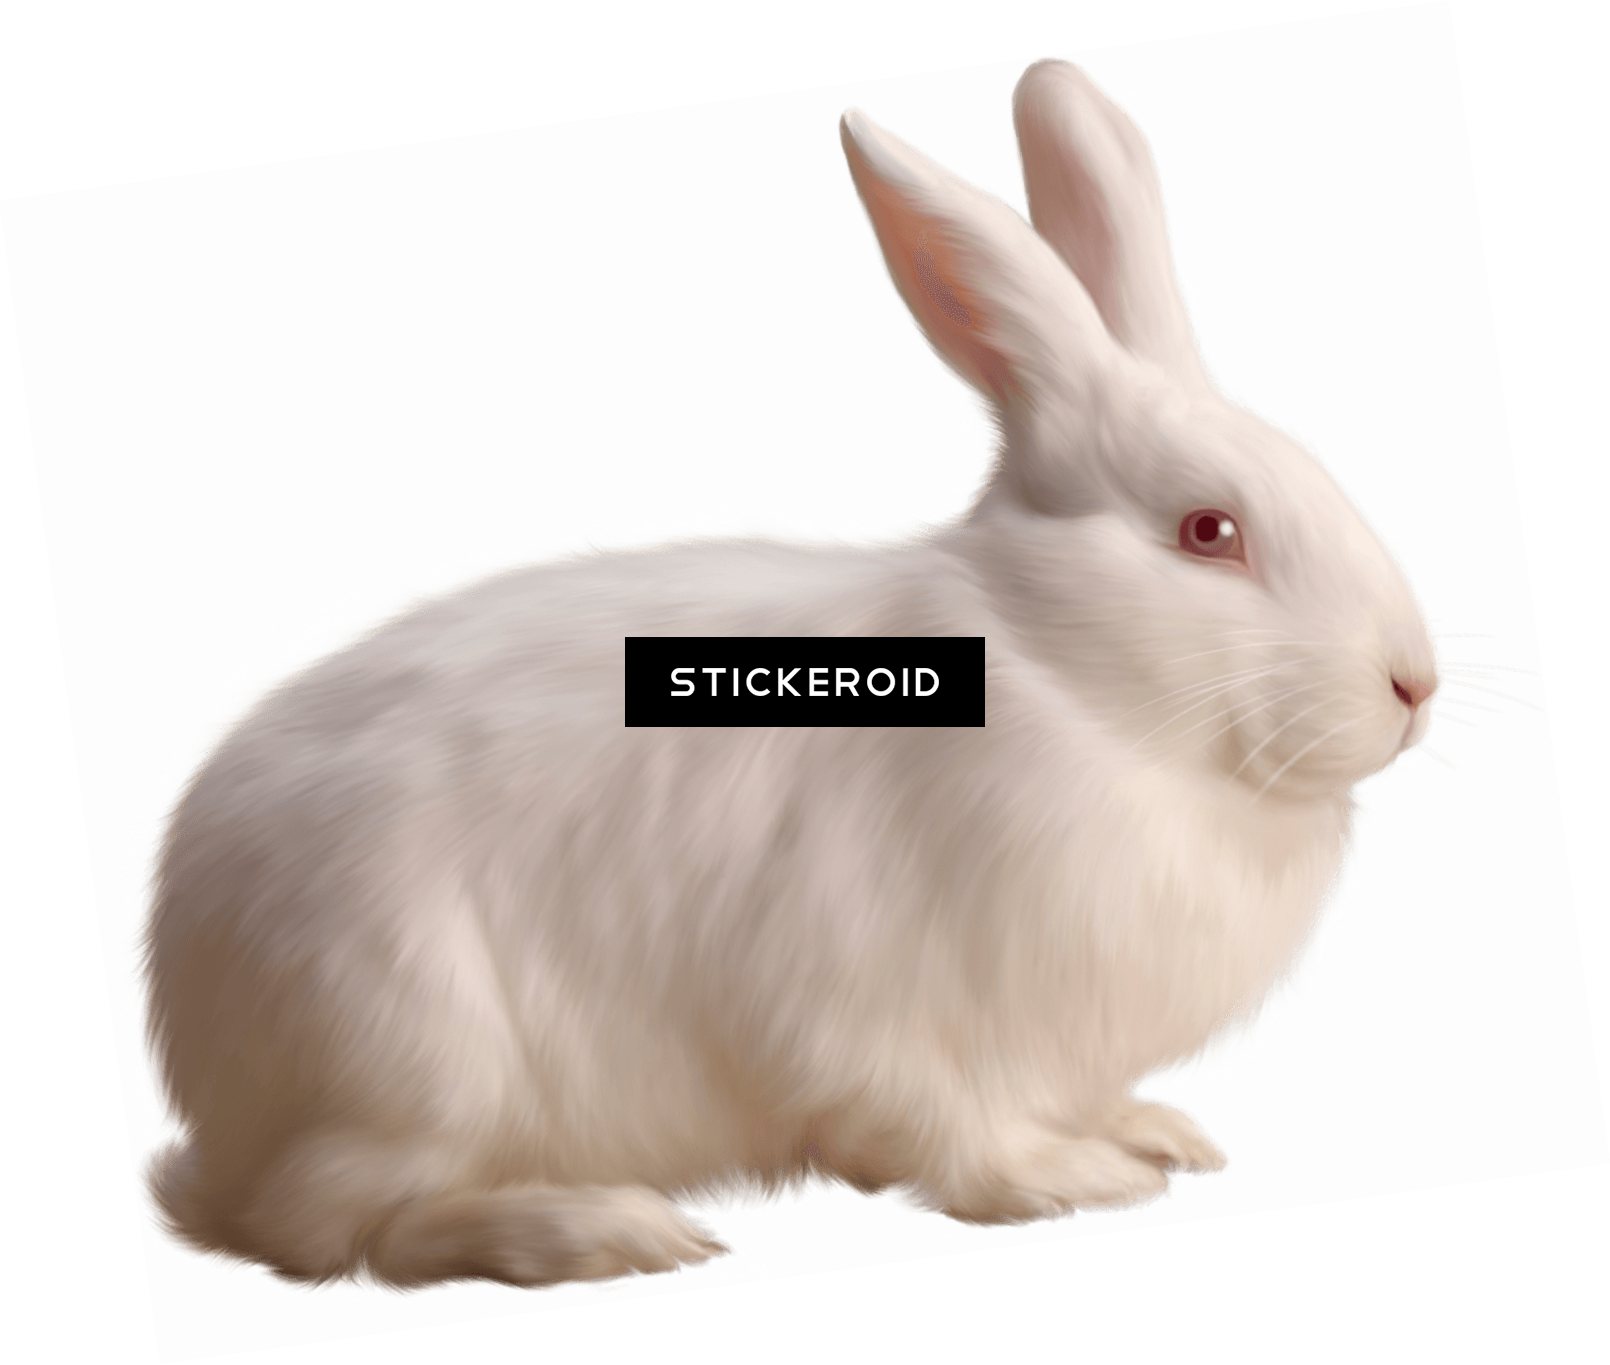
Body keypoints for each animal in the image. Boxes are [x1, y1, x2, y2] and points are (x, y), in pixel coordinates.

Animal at [120, 56, 1446, 1297]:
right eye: (1207, 533)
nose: (1409, 686)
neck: (1059, 674)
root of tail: (198, 1092)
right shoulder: (866, 1002)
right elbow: (936, 1134)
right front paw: (1066, 1181)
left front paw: (1151, 1134)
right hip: (415, 1043)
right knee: (341, 1224)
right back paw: (597, 1230)